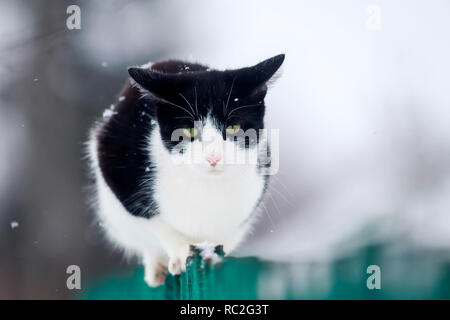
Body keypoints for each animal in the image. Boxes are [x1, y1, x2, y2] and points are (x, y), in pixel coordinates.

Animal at [88, 53, 284, 286]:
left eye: (233, 127)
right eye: (189, 130)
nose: (213, 157)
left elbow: (231, 232)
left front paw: (215, 256)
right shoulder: (113, 164)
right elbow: (156, 221)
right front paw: (181, 254)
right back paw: (156, 267)